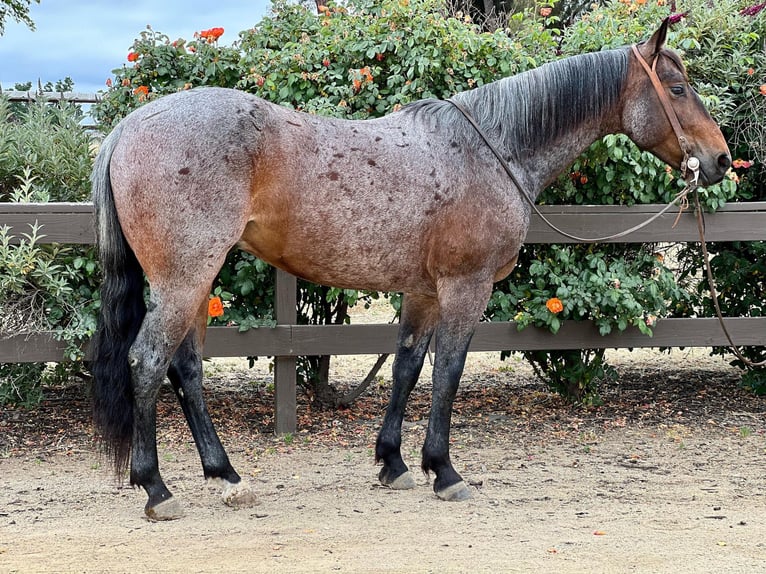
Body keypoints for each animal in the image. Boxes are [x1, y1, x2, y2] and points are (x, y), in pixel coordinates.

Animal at [90, 19, 732, 520]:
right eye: (678, 87)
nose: (722, 160)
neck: (490, 148)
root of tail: (127, 127)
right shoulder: (466, 288)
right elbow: (447, 371)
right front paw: (443, 470)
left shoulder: (422, 292)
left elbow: (405, 366)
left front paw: (393, 462)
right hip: (185, 279)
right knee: (148, 362)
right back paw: (157, 488)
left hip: (195, 281)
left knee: (186, 368)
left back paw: (226, 476)